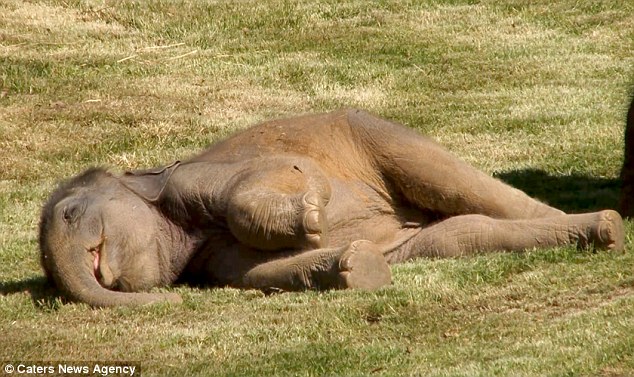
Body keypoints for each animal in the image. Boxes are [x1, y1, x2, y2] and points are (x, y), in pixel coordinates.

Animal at [38, 108, 624, 306]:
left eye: (70, 214)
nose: (169, 301)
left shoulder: (198, 176)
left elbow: (290, 173)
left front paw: (314, 213)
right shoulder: (210, 262)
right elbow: (262, 274)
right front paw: (355, 264)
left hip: (375, 134)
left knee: (456, 185)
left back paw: (604, 228)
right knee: (459, 235)